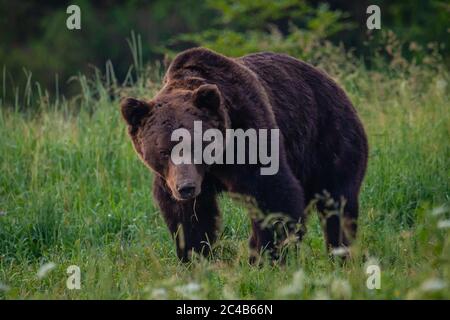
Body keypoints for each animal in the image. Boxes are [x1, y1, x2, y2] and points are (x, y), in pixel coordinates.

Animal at [121, 47, 368, 262]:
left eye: (196, 145)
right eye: (164, 151)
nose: (186, 187)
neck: (217, 160)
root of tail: (334, 84)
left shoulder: (249, 130)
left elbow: (272, 193)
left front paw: (270, 256)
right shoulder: (174, 179)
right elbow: (188, 215)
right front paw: (194, 256)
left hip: (329, 139)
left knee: (338, 201)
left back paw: (340, 253)